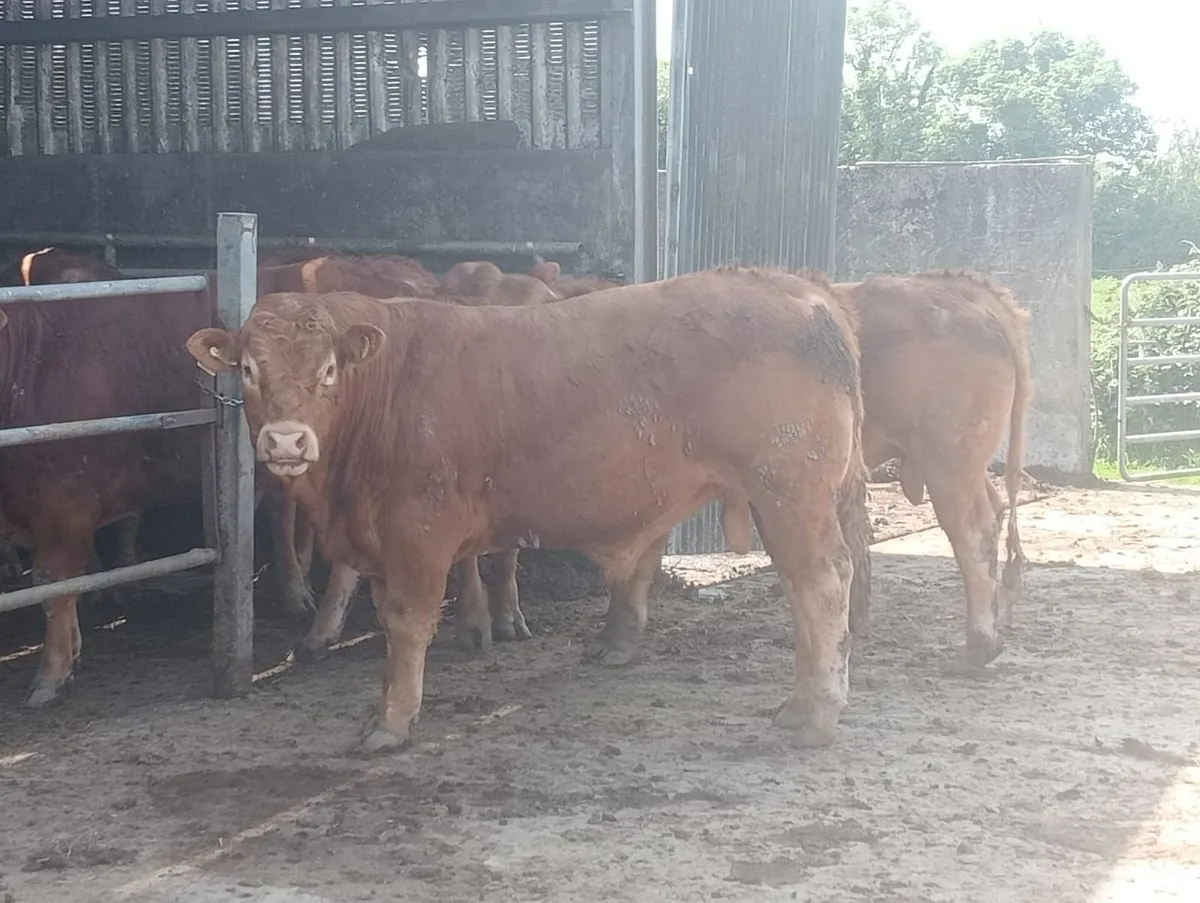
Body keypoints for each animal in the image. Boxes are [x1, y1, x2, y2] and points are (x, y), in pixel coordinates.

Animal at [186, 266, 871, 753]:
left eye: (328, 369)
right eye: (248, 370)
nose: (286, 442)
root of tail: (799, 287)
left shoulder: (418, 529)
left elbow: (406, 623)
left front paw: (392, 721)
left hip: (789, 491)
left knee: (821, 585)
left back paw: (816, 715)